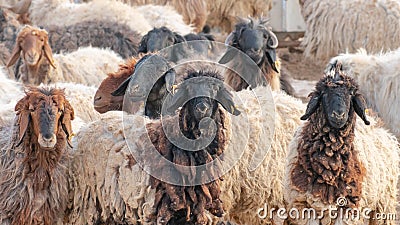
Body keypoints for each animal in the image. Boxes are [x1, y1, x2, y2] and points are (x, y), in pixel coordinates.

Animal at [282, 64, 398, 225]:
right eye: (324, 93)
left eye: (350, 94)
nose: (339, 115)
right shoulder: (304, 206)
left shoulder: (348, 209)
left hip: (382, 206)